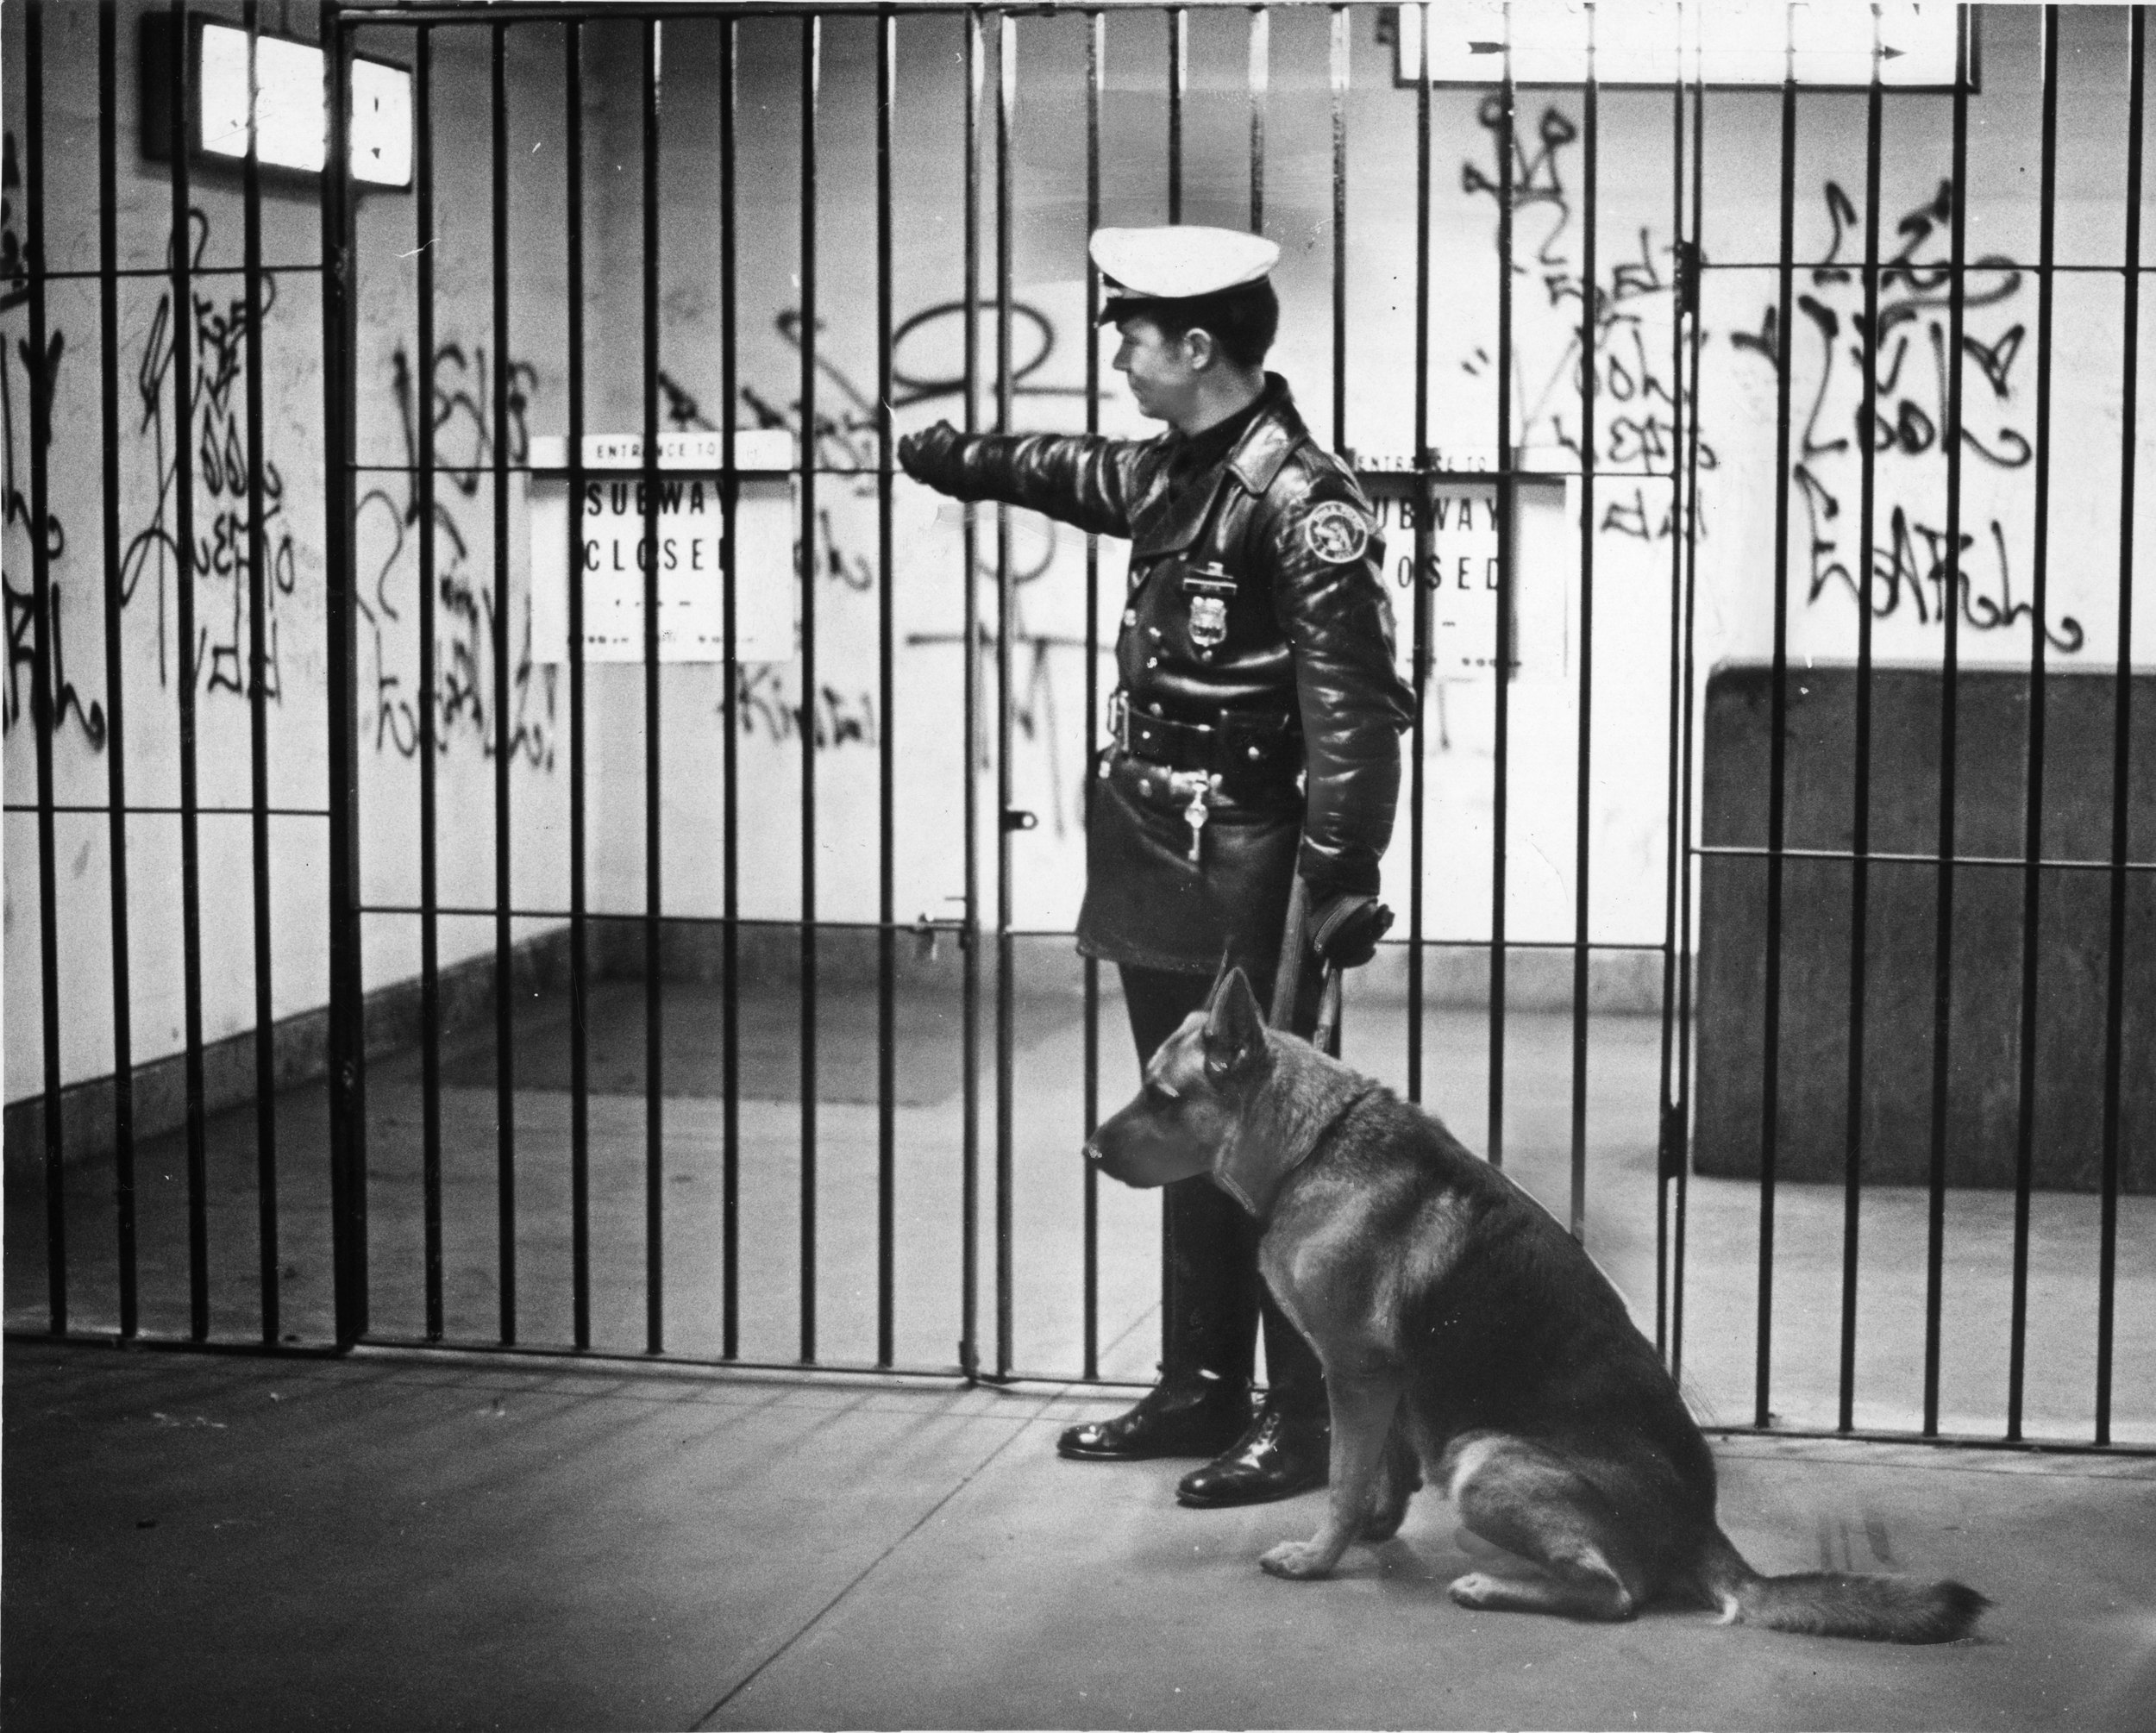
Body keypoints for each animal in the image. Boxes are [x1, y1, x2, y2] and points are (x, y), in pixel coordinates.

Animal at [1087, 970, 1992, 1647]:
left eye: (1159, 1096)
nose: (1089, 1152)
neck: (1313, 1144)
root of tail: (1702, 1526)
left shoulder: (1355, 1373)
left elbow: (1343, 1480)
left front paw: (1317, 1558)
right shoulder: (1380, 1386)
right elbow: (1378, 1472)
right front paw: (1371, 1530)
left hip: (1483, 1459)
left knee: (1615, 1594)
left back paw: (1493, 1586)